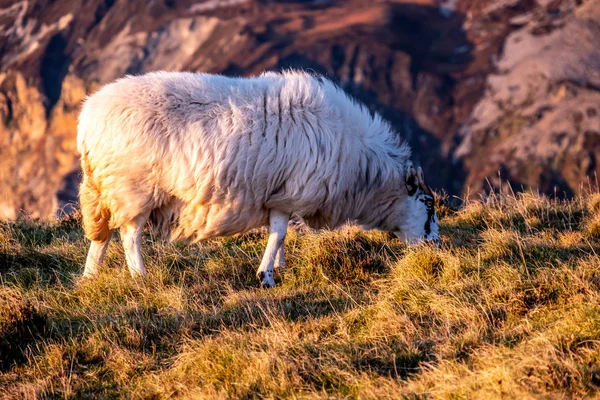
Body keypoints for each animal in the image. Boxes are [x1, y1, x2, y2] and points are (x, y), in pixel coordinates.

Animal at [77, 69, 438, 288]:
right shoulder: (288, 195)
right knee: (130, 236)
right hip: (133, 188)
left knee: (102, 236)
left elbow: (279, 234)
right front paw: (267, 276)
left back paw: (89, 276)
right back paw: (140, 276)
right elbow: (279, 233)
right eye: (428, 204)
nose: (435, 249)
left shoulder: (276, 196)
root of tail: (88, 119)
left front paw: (279, 266)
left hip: (105, 188)